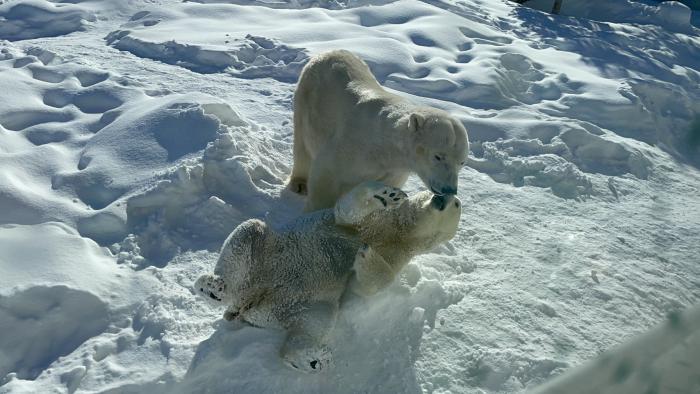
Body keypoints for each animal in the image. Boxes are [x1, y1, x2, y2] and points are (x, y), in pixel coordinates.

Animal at [194, 182, 462, 372]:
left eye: (457, 204)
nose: (445, 195)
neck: (400, 232)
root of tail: (251, 302)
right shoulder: (374, 223)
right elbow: (347, 211)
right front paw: (387, 195)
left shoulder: (396, 256)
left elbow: (367, 285)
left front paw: (365, 256)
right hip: (265, 257)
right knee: (249, 232)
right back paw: (212, 287)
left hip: (303, 302)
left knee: (315, 321)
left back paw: (313, 359)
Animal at [290, 49, 470, 212]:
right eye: (438, 156)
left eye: (461, 162)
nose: (449, 190)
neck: (386, 147)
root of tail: (330, 52)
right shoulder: (353, 146)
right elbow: (326, 175)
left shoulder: (394, 170)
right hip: (307, 97)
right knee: (302, 146)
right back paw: (299, 183)